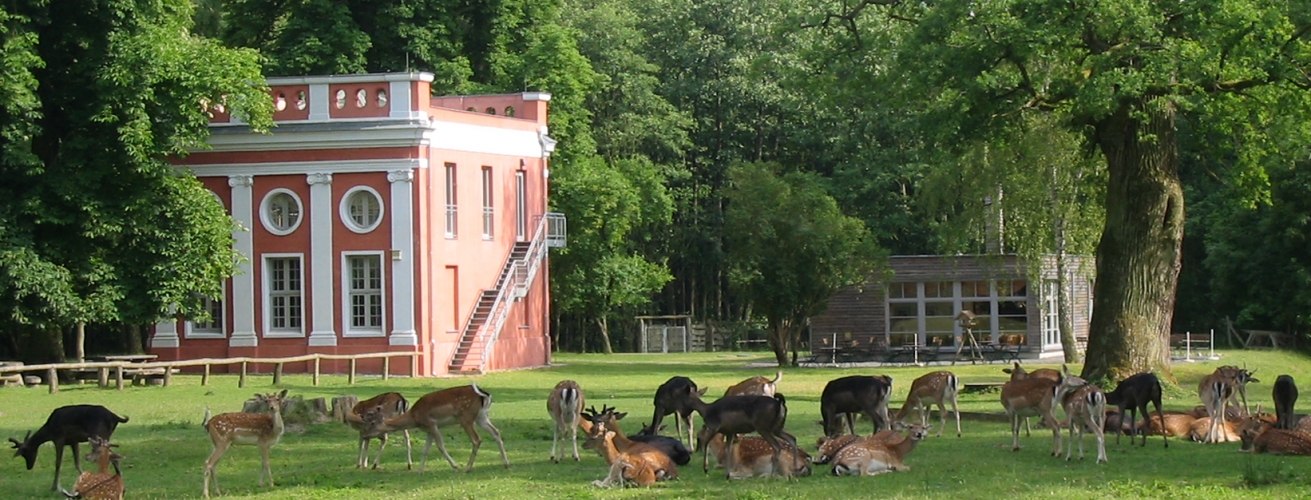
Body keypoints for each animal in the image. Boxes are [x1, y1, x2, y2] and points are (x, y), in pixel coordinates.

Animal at [361, 380, 508, 472]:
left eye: (372, 423)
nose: (364, 435)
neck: (414, 417)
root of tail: (485, 395)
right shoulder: (428, 430)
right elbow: (425, 450)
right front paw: (420, 470)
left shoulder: (432, 424)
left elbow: (440, 446)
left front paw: (455, 467)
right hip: (481, 417)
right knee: (496, 432)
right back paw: (506, 464)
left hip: (465, 418)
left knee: (477, 439)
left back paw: (467, 468)